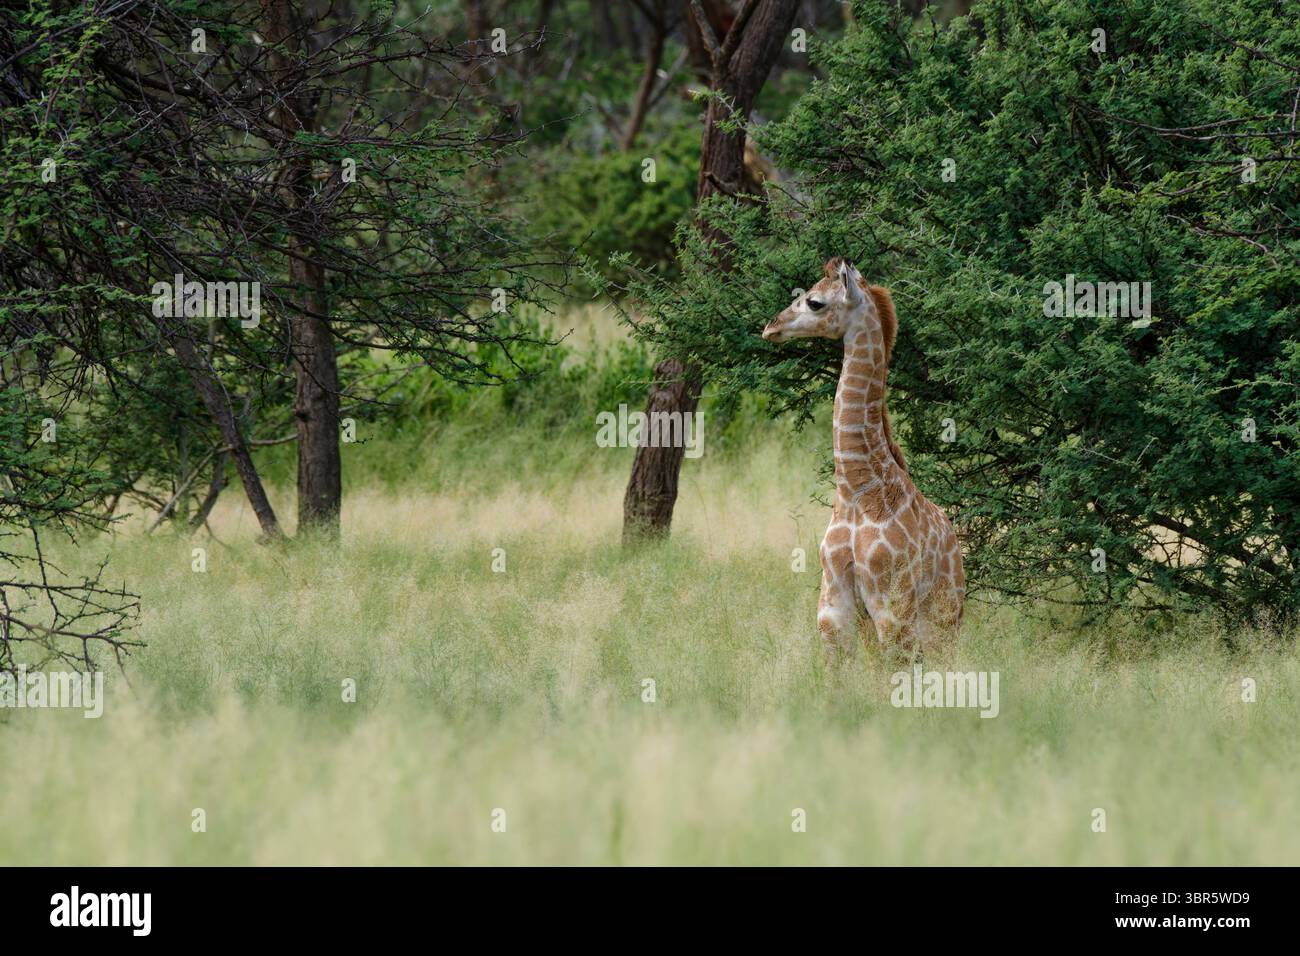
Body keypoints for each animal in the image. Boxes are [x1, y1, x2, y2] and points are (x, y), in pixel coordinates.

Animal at [762, 257, 964, 657]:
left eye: (815, 302)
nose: (770, 327)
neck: (857, 490)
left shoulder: (891, 608)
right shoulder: (833, 605)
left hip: (942, 622)